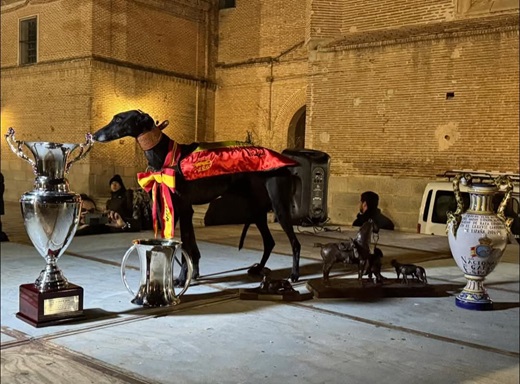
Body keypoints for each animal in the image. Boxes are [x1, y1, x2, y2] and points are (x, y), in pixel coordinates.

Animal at [93, 110, 300, 284]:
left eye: (119, 119)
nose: (93, 135)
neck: (166, 155)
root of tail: (286, 164)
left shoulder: (184, 209)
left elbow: (185, 246)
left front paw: (182, 278)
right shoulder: (180, 210)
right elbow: (190, 247)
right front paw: (192, 274)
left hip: (279, 206)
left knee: (294, 243)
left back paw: (294, 275)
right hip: (257, 209)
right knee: (270, 241)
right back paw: (259, 269)